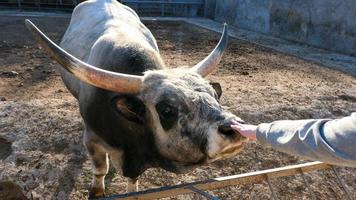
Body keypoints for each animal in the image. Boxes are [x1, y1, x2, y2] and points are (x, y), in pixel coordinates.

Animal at [25, 0, 248, 197]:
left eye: (214, 96)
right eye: (166, 110)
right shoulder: (92, 139)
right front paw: (97, 191)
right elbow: (100, 169)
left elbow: (133, 181)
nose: (233, 128)